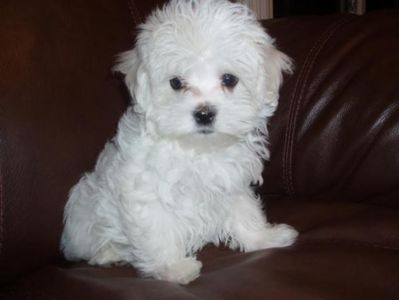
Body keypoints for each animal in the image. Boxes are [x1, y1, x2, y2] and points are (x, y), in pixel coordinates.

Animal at [61, 0, 296, 284]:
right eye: (176, 82)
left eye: (229, 79)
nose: (204, 113)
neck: (198, 150)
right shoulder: (146, 192)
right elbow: (158, 230)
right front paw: (173, 268)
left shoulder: (230, 183)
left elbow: (244, 211)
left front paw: (263, 237)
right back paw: (110, 253)